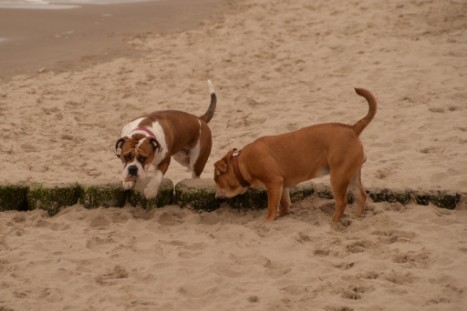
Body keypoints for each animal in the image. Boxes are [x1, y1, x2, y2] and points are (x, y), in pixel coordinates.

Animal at [214, 89, 378, 223]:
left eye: (217, 180)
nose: (215, 197)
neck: (241, 163)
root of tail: (352, 129)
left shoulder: (273, 183)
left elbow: (271, 207)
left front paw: (267, 221)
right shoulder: (281, 184)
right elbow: (285, 203)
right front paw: (281, 217)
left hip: (338, 177)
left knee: (342, 202)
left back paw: (334, 221)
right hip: (352, 174)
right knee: (361, 196)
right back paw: (356, 217)